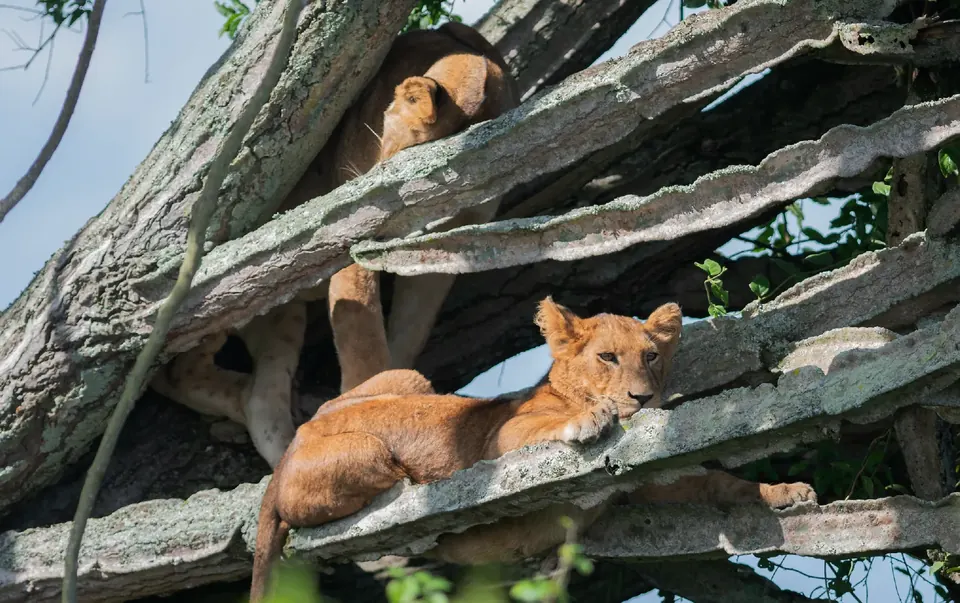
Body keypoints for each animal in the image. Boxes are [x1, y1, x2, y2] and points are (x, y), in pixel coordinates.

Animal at [150, 22, 519, 467]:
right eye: (388, 160)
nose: (359, 196)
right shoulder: (353, 250)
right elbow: (364, 346)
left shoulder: (441, 257)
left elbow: (409, 333)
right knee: (180, 375)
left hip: (282, 317)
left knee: (253, 395)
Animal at [249, 298, 816, 600]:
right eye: (608, 357)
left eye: (651, 356)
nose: (643, 398)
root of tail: (287, 451)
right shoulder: (498, 439)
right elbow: (544, 426)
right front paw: (588, 419)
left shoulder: (645, 479)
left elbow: (718, 480)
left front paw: (784, 490)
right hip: (366, 453)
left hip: (408, 378)